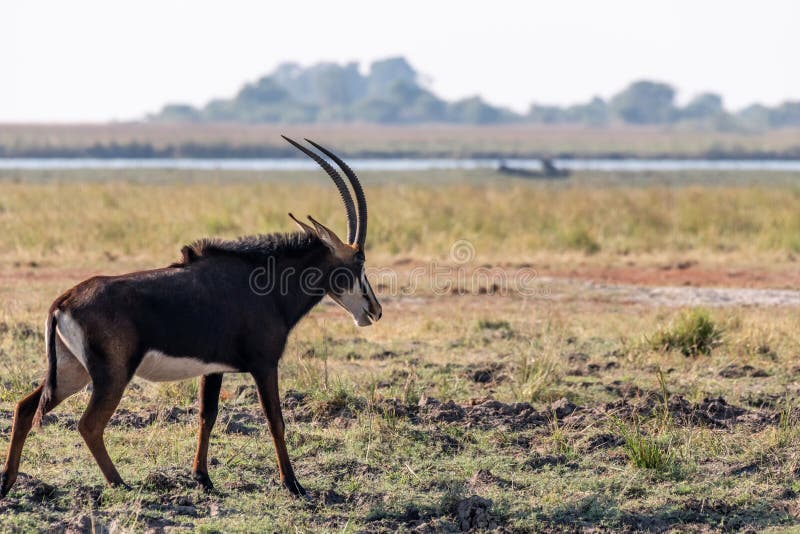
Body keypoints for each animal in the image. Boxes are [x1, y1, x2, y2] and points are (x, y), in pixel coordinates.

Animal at [0, 137, 382, 498]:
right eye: (358, 261)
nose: (374, 310)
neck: (265, 283)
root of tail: (64, 300)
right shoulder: (264, 364)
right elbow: (275, 420)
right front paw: (293, 484)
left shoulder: (213, 369)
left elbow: (206, 416)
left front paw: (203, 478)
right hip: (112, 375)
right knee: (89, 424)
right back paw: (120, 483)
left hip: (71, 372)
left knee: (25, 407)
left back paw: (8, 482)